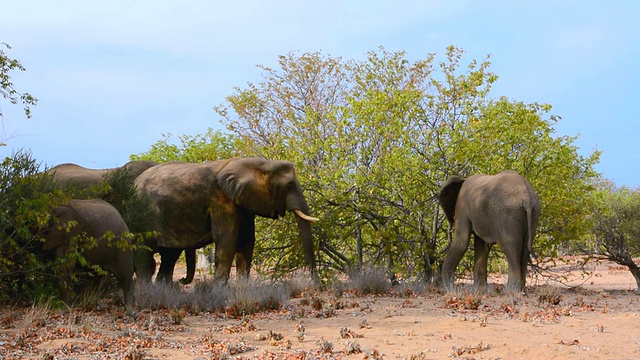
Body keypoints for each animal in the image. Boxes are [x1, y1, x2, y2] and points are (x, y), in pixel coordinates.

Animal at [133, 158, 320, 284]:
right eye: (288, 186)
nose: (316, 286)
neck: (260, 163)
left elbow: (247, 243)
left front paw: (243, 288)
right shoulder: (220, 200)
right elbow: (227, 240)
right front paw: (219, 290)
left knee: (169, 256)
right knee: (144, 255)